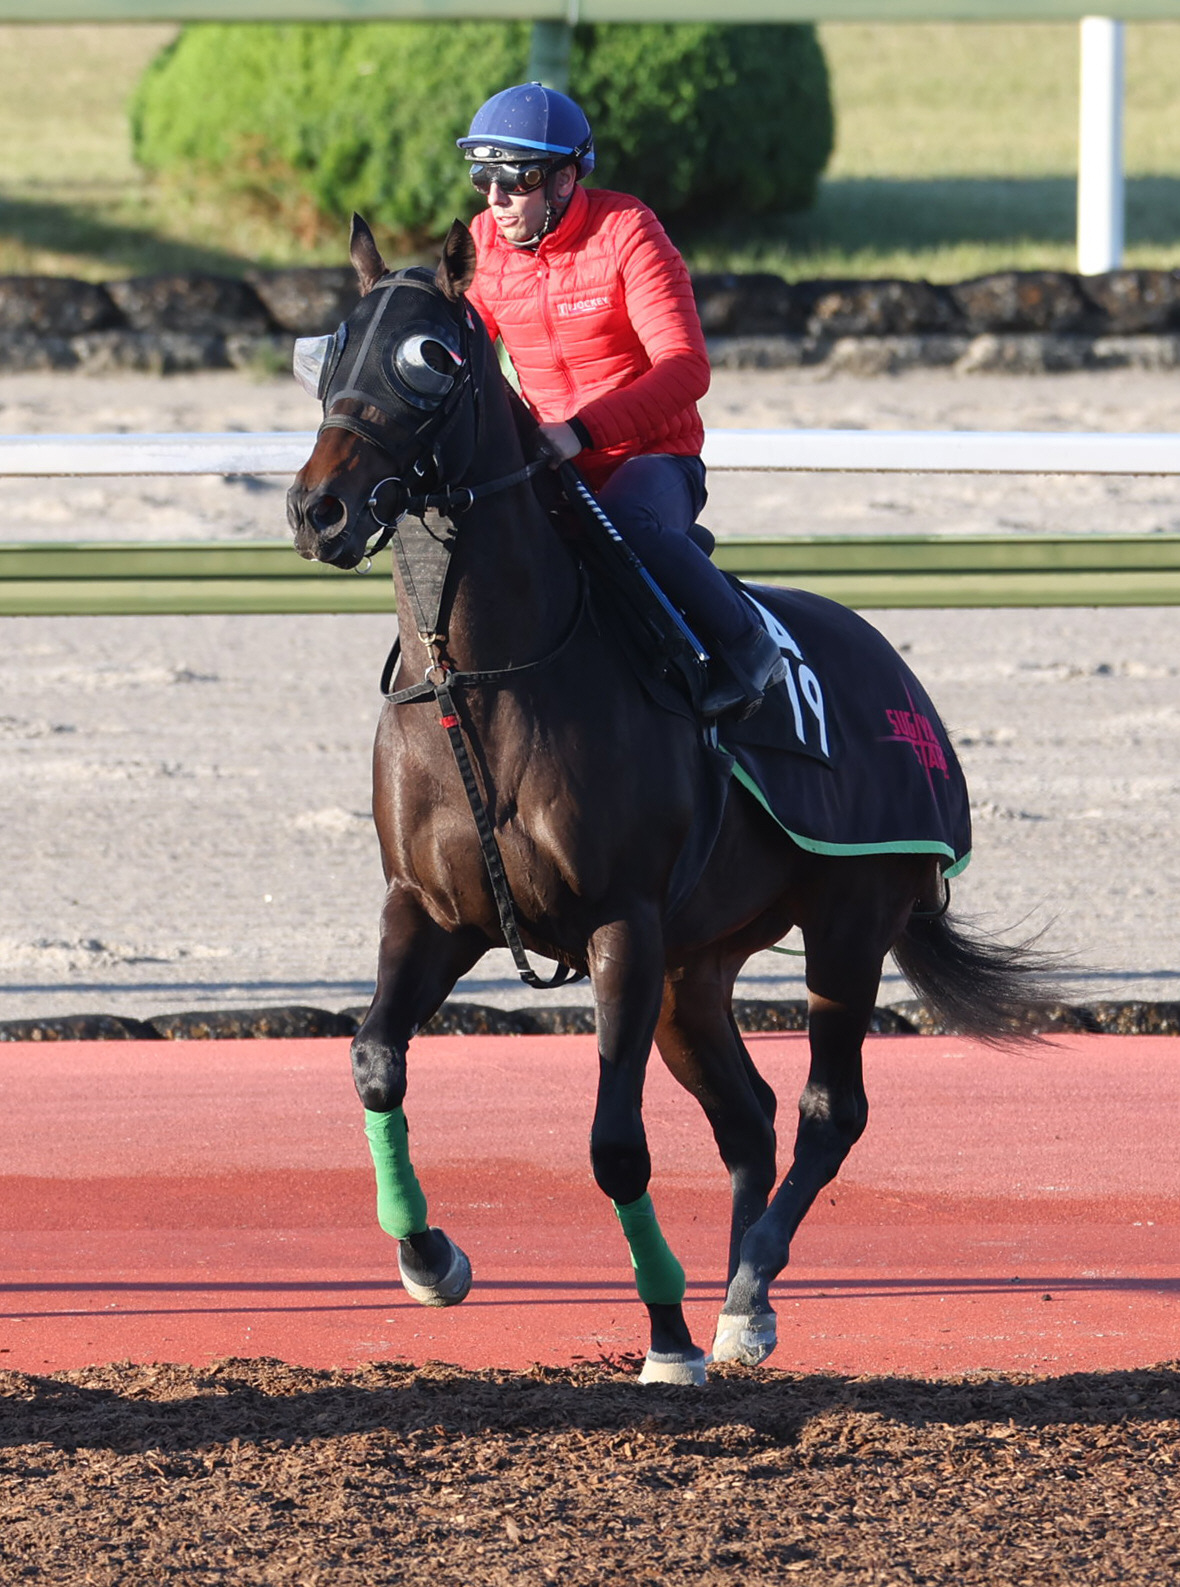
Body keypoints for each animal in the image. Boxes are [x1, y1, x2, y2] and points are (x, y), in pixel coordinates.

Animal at [287, 215, 1050, 1385]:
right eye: (327, 349)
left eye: (432, 358)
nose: (317, 507)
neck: (484, 680)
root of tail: (899, 679)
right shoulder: (432, 909)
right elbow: (375, 1060)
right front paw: (429, 1256)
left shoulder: (623, 923)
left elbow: (614, 1144)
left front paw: (668, 1331)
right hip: (703, 966)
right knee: (750, 1116)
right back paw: (749, 1295)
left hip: (849, 918)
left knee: (830, 1108)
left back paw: (739, 1294)